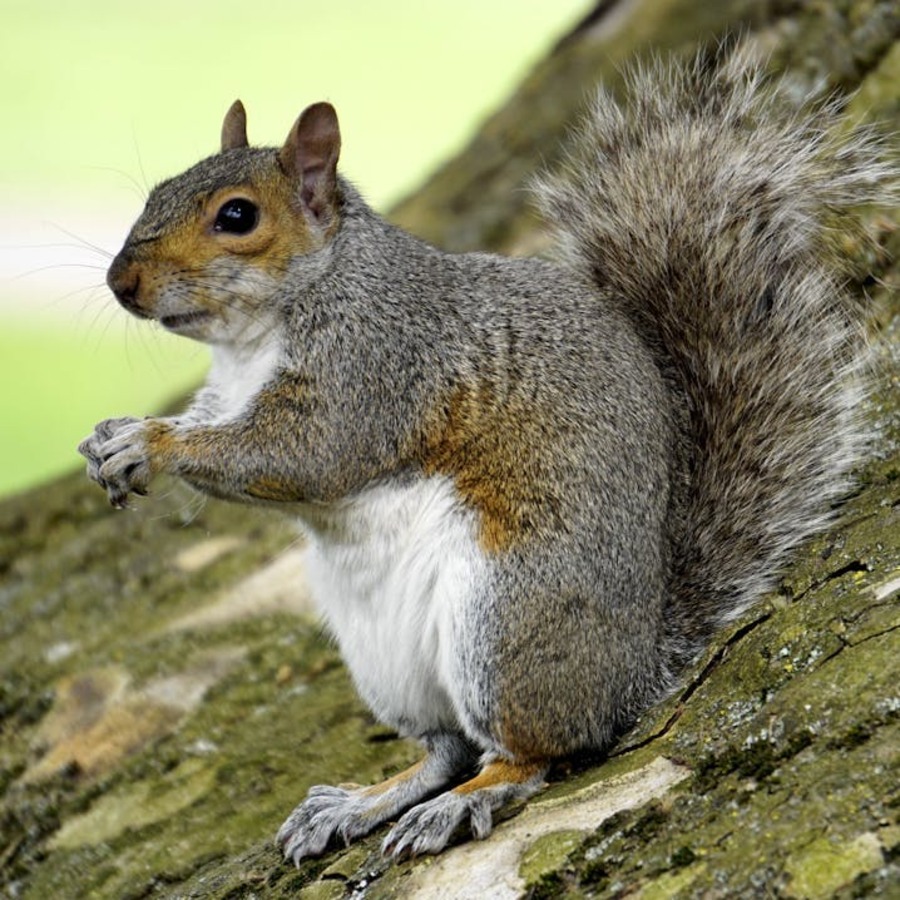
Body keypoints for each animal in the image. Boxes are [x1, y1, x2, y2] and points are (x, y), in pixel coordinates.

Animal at [79, 51, 892, 864]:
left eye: (237, 217)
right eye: (157, 191)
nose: (121, 283)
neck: (259, 333)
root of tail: (635, 671)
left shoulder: (374, 367)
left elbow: (301, 454)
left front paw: (152, 445)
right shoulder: (230, 392)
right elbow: (216, 427)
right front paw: (111, 437)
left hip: (505, 621)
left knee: (531, 753)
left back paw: (464, 801)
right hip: (389, 663)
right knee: (446, 749)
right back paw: (363, 801)